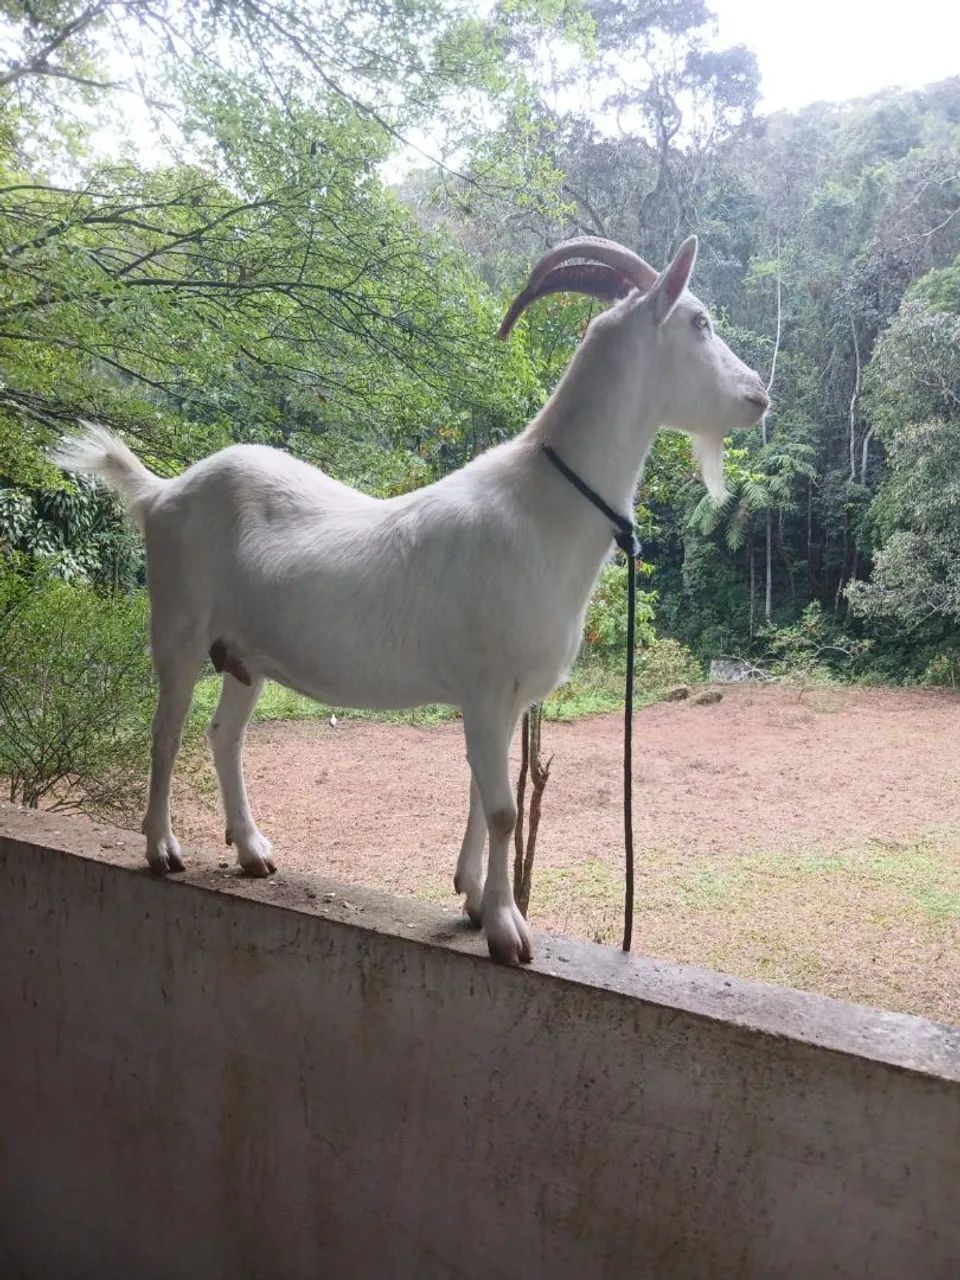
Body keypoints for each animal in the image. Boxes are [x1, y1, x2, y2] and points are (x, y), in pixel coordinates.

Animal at [54, 235, 768, 965]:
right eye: (700, 321)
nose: (759, 396)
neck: (543, 508)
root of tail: (160, 493)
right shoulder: (485, 685)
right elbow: (504, 808)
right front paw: (508, 929)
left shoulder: (504, 698)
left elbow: (485, 793)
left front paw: (475, 900)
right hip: (179, 626)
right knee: (166, 732)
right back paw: (162, 848)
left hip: (244, 657)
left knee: (223, 735)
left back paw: (252, 851)